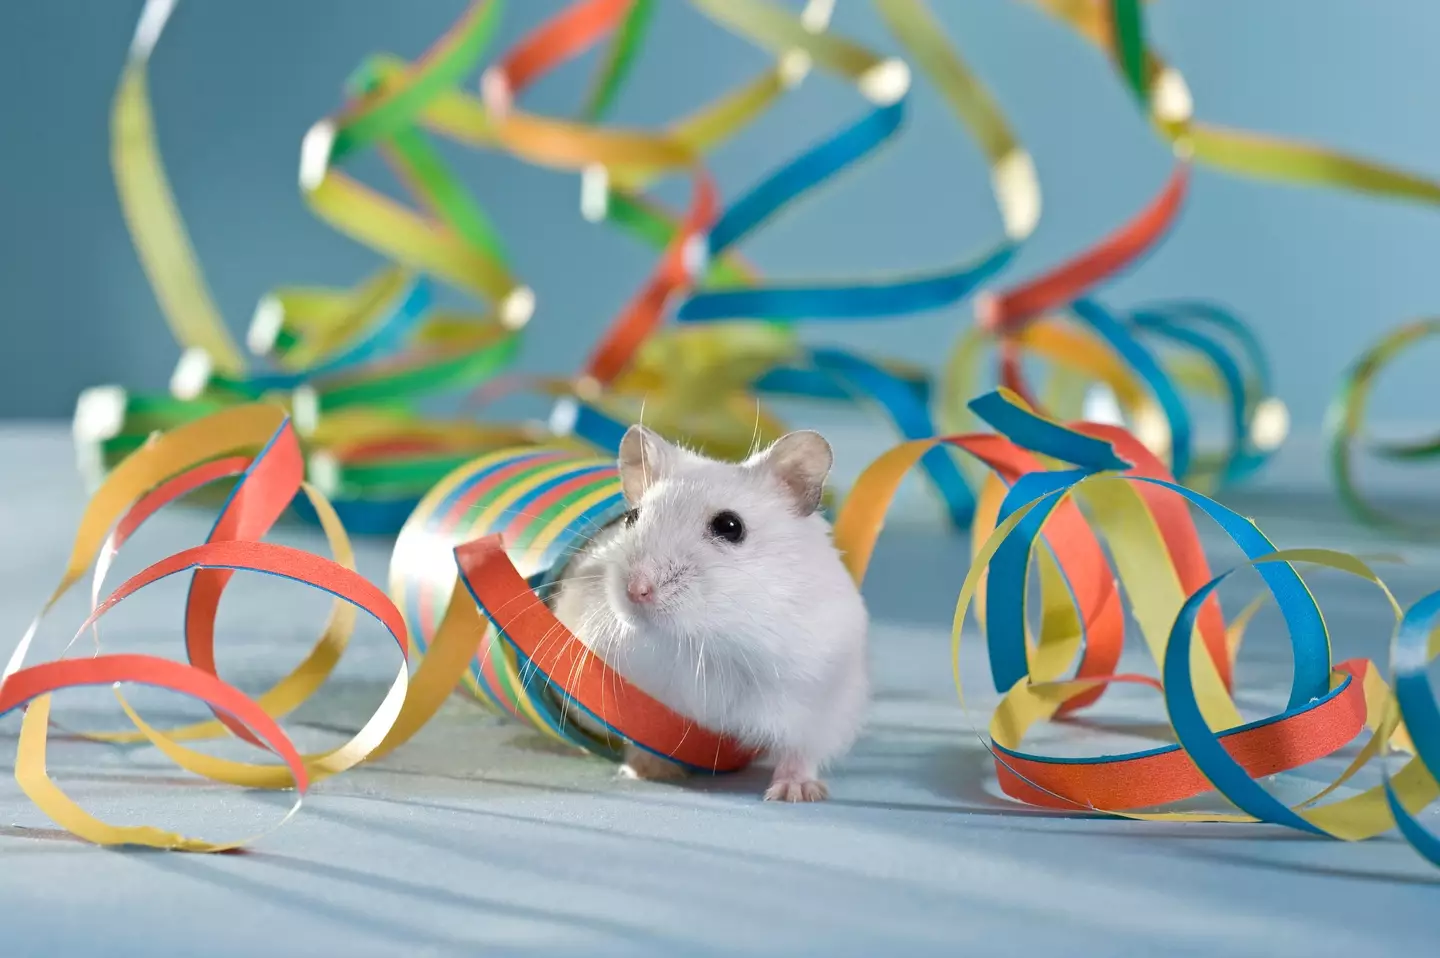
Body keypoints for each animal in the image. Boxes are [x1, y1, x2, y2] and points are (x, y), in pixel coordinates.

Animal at [547, 426, 864, 800]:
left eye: (730, 526)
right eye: (631, 517)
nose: (636, 590)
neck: (705, 639)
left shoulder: (819, 701)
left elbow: (801, 750)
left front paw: (794, 793)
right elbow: (641, 738)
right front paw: (648, 771)